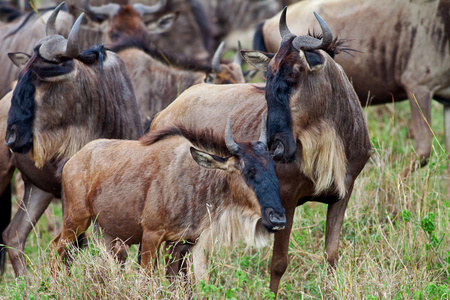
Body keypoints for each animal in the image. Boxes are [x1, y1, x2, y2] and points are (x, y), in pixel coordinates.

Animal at [52, 117, 284, 282]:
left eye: (273, 168)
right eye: (248, 171)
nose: (278, 219)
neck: (194, 179)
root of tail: (72, 160)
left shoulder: (183, 244)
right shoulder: (151, 236)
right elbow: (146, 279)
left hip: (108, 234)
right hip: (76, 221)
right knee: (58, 250)